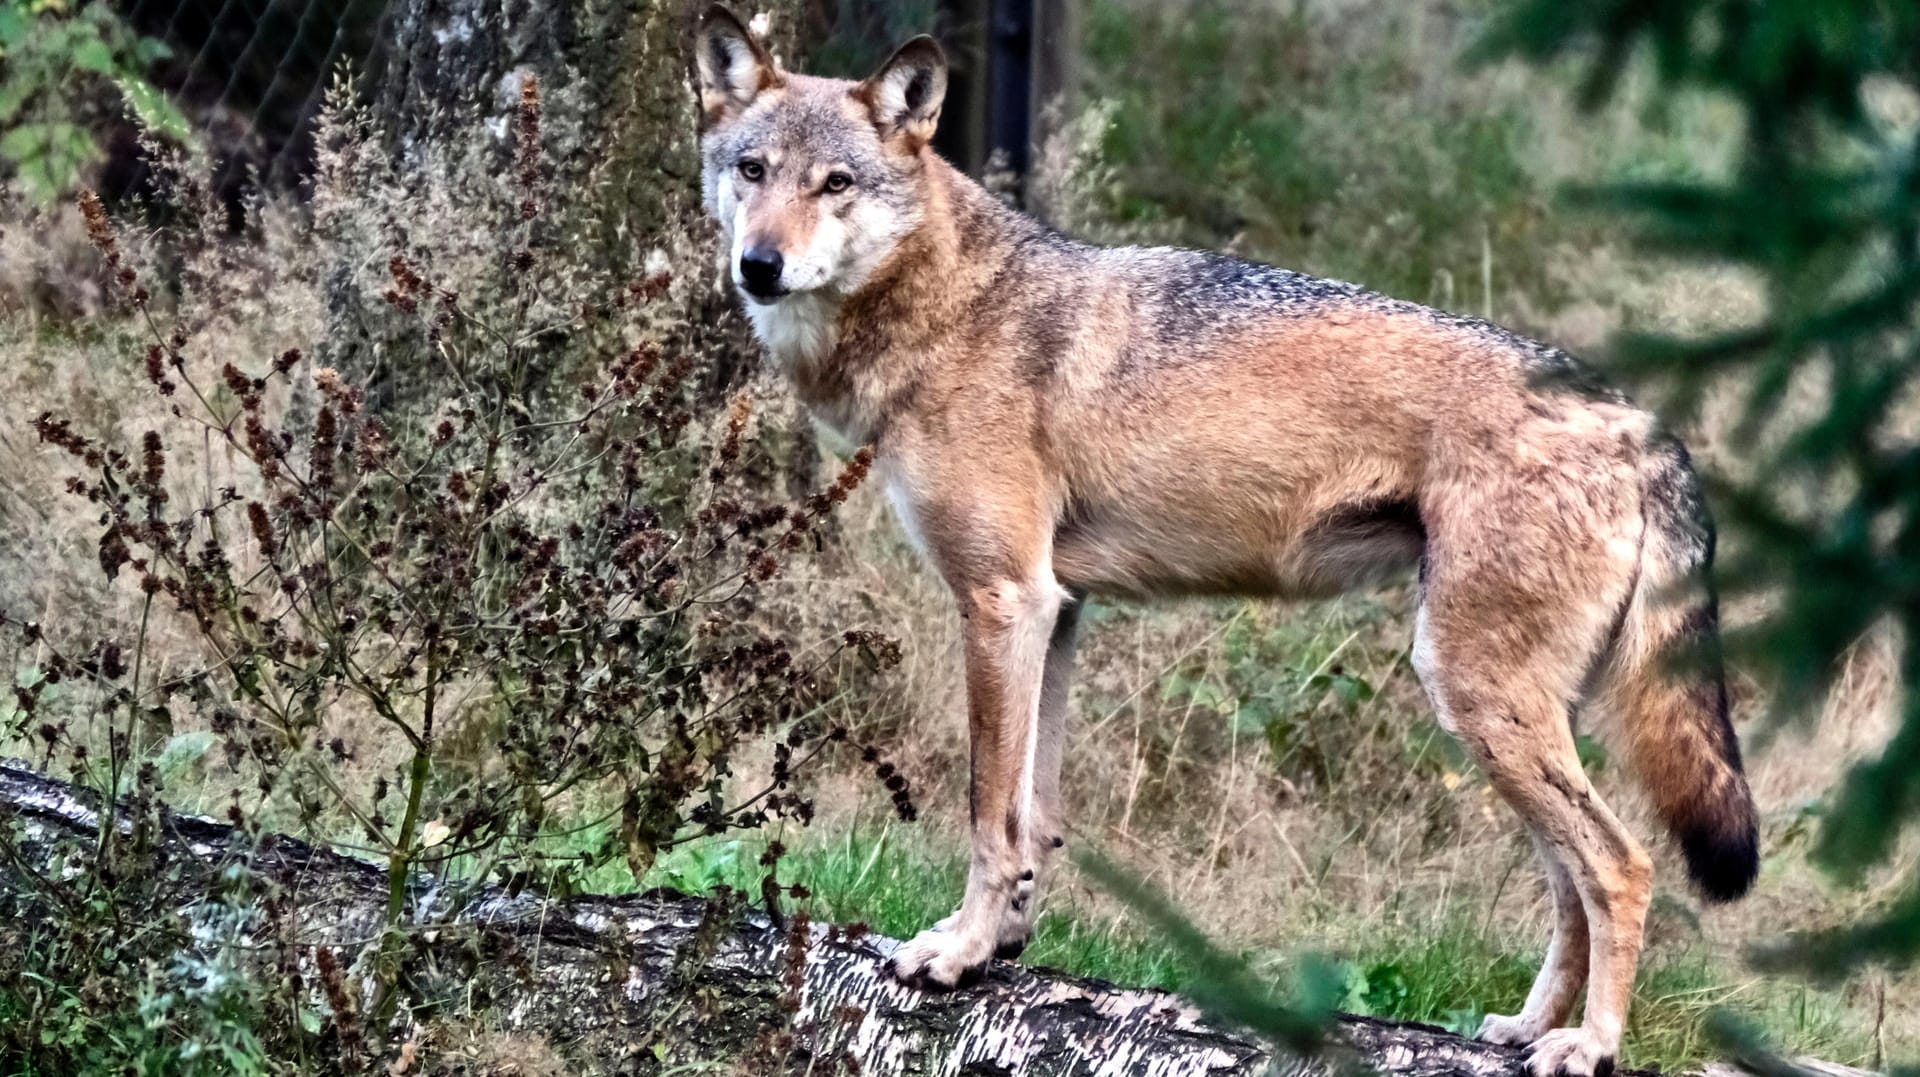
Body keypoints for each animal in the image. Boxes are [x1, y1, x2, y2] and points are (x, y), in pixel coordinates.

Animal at [687, 10, 1758, 1075]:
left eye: (836, 183)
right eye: (753, 170)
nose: (759, 266)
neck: (948, 304)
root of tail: (1640, 420)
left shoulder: (1003, 600)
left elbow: (991, 812)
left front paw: (952, 955)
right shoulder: (1055, 611)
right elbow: (1036, 816)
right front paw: (1001, 944)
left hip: (1475, 694)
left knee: (1622, 865)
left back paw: (1590, 1045)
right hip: (1506, 716)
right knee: (1570, 881)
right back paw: (1527, 1026)